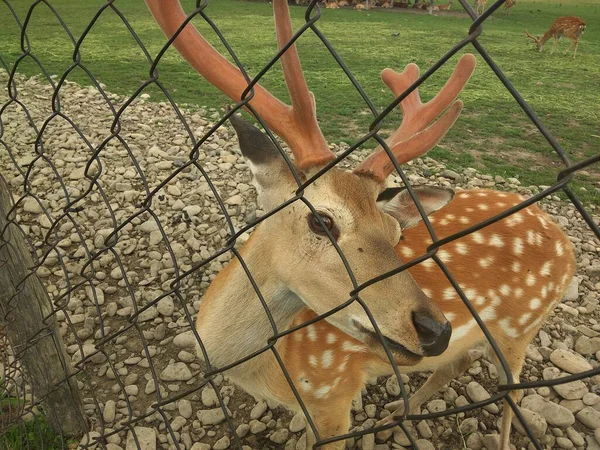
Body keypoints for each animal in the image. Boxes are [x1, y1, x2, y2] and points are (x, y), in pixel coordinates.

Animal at [144, 0, 576, 450]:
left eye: (395, 233)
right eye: (321, 221)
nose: (436, 330)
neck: (268, 370)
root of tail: (567, 243)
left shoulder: (333, 392)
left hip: (522, 324)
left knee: (512, 391)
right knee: (455, 365)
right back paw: (393, 414)